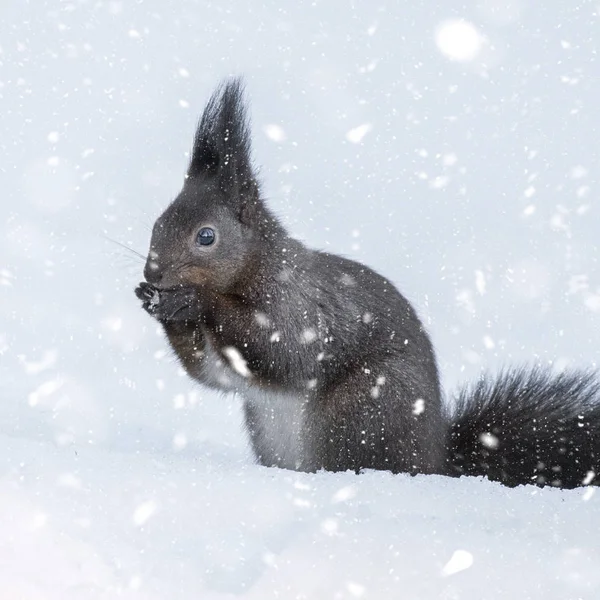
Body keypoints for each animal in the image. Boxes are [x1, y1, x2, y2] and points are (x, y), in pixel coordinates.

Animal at [136, 77, 600, 488]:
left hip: (359, 409)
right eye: (157, 222)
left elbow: (283, 351)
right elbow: (212, 372)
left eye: (206, 236)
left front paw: (198, 300)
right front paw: (155, 303)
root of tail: (435, 466)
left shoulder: (298, 303)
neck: (257, 266)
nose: (151, 274)